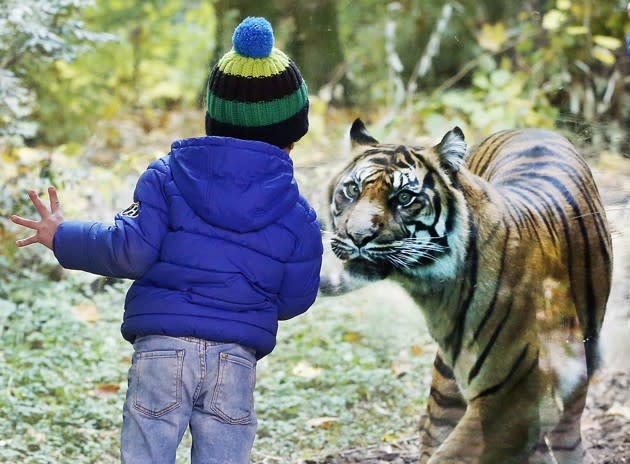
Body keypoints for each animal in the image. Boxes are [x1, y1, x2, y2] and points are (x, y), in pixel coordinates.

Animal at [328, 120, 616, 464]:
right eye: (352, 190)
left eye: (405, 197)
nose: (357, 237)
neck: (437, 291)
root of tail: (527, 129)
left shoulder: (515, 396)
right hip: (446, 381)